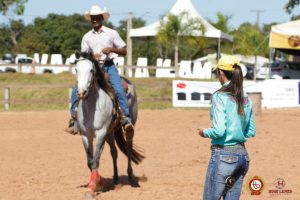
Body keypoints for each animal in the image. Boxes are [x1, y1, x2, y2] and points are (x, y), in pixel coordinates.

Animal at [75, 52, 145, 194]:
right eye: (76, 69)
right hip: (110, 132)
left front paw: (93, 187)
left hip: (129, 126)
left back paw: (130, 176)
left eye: (91, 70)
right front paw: (100, 182)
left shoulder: (100, 134)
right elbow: (90, 161)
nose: (81, 92)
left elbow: (96, 160)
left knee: (129, 146)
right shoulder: (85, 135)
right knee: (114, 152)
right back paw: (116, 178)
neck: (91, 108)